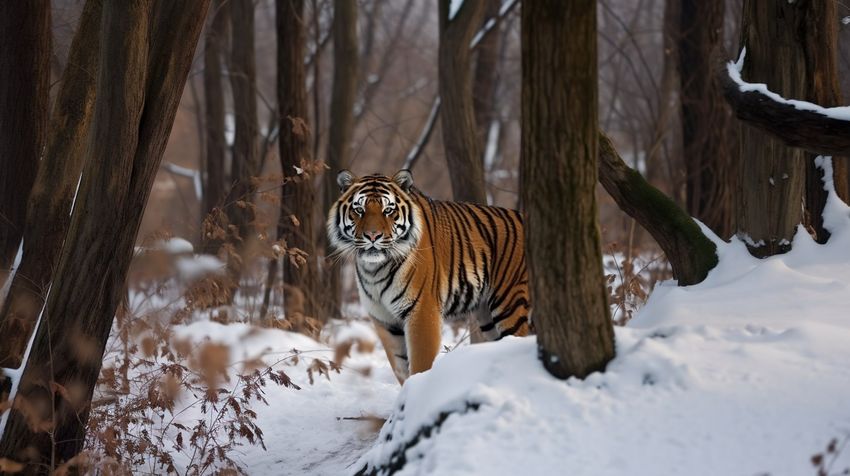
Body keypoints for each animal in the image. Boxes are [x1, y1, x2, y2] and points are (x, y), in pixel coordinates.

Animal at [328, 169, 528, 384]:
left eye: (388, 210)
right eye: (359, 210)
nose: (372, 236)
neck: (374, 269)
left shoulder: (422, 310)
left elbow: (420, 364)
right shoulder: (384, 319)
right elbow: (401, 367)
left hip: (512, 305)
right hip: (487, 318)